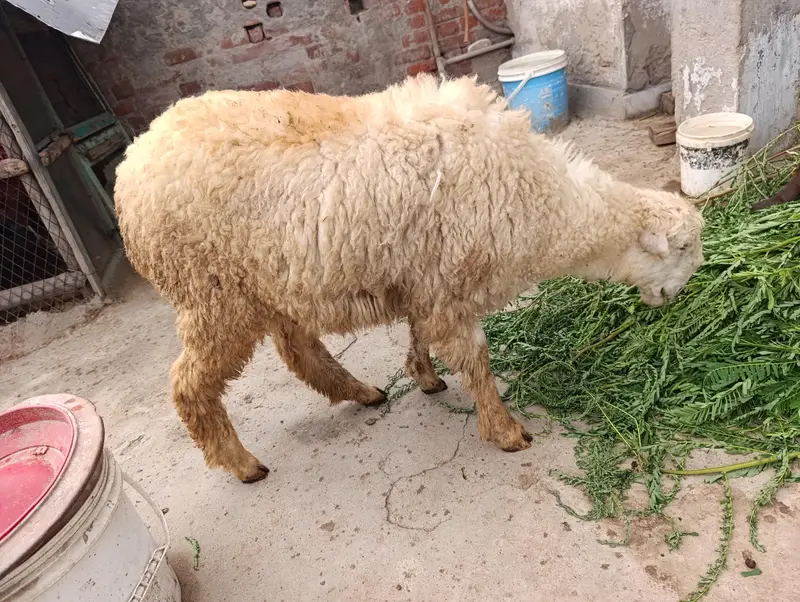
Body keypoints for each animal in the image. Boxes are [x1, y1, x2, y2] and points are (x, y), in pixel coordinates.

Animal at [114, 74, 705, 483]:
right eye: (682, 250)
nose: (673, 300)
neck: (545, 203)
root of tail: (133, 159)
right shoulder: (449, 283)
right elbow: (475, 358)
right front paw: (505, 430)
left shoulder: (428, 279)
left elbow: (422, 334)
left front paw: (423, 376)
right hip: (213, 293)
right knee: (189, 384)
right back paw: (241, 464)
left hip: (273, 284)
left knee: (299, 350)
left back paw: (362, 393)